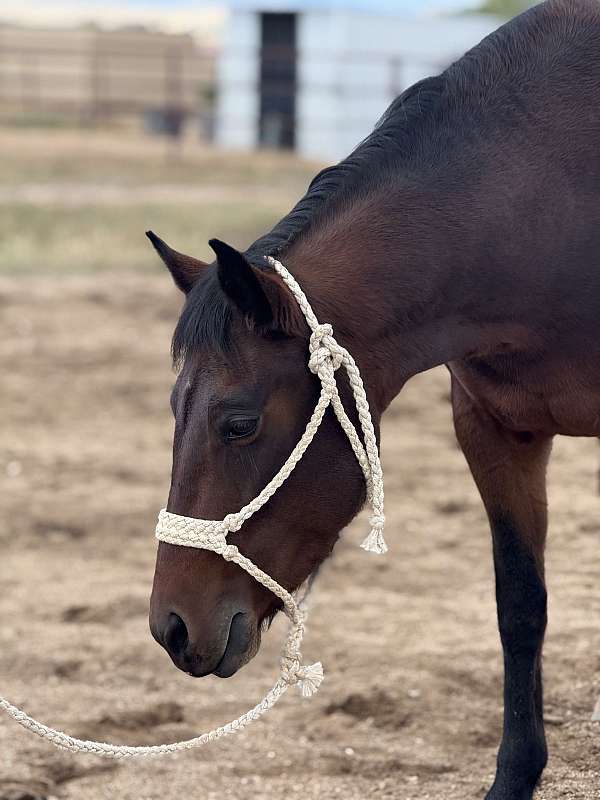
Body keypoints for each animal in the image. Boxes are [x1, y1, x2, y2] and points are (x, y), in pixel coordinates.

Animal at [148, 1, 600, 797]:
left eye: (239, 423)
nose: (171, 626)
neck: (545, 205)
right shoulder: (493, 430)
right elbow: (520, 606)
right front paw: (514, 775)